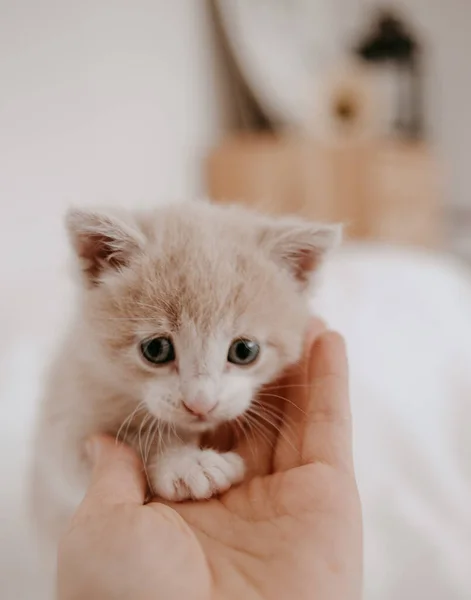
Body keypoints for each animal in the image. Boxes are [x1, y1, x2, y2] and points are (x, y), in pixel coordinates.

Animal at [31, 199, 342, 548]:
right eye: (156, 349)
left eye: (244, 351)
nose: (201, 403)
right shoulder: (66, 417)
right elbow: (132, 439)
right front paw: (186, 463)